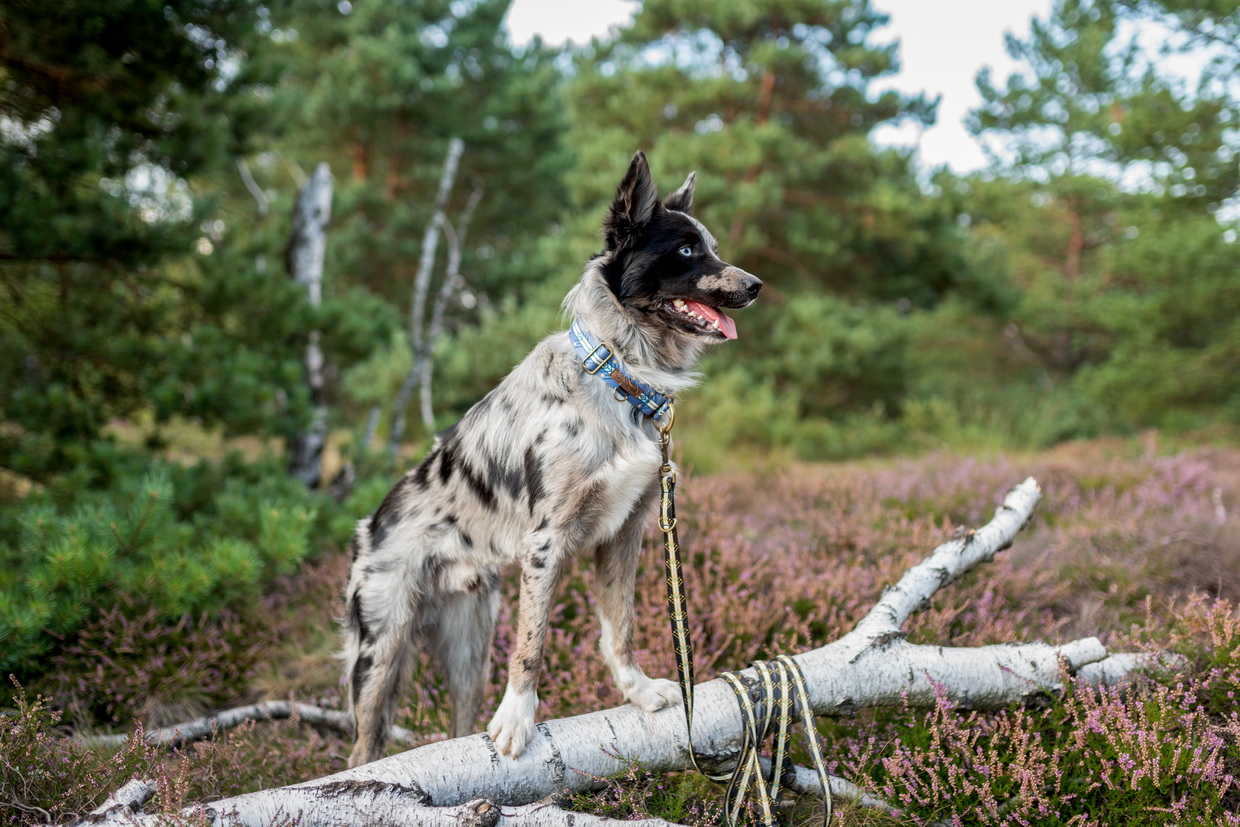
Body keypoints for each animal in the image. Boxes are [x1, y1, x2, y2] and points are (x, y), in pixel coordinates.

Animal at [344, 151, 758, 768]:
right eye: (686, 251)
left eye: (709, 246)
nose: (756, 285)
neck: (617, 376)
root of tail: (373, 523)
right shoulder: (547, 542)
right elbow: (533, 641)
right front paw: (519, 718)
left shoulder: (627, 532)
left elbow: (620, 627)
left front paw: (637, 691)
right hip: (381, 649)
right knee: (361, 747)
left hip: (468, 649)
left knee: (459, 717)